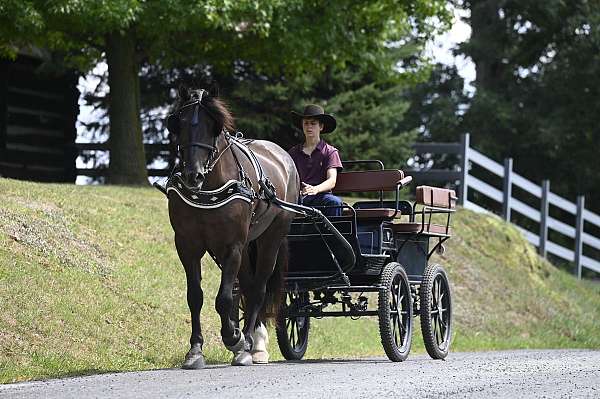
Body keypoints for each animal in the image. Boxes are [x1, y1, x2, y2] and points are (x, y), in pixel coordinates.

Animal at [164, 86, 300, 368]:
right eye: (180, 123)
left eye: (213, 126)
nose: (193, 174)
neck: (207, 188)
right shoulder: (187, 245)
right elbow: (196, 296)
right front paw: (195, 350)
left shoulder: (232, 246)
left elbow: (224, 298)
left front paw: (234, 337)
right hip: (248, 245)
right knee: (247, 285)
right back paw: (253, 342)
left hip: (271, 238)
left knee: (258, 288)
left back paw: (249, 343)